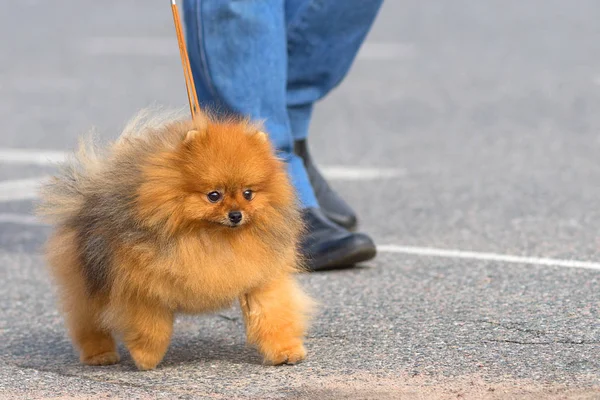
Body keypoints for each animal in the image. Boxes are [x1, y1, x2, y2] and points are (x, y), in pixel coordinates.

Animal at [37, 108, 316, 368]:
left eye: (248, 194)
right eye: (213, 195)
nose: (236, 215)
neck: (211, 238)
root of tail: (90, 192)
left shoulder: (260, 279)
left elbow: (273, 315)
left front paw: (285, 351)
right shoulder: (141, 287)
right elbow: (150, 327)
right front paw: (146, 357)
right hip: (91, 279)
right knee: (88, 320)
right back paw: (99, 354)